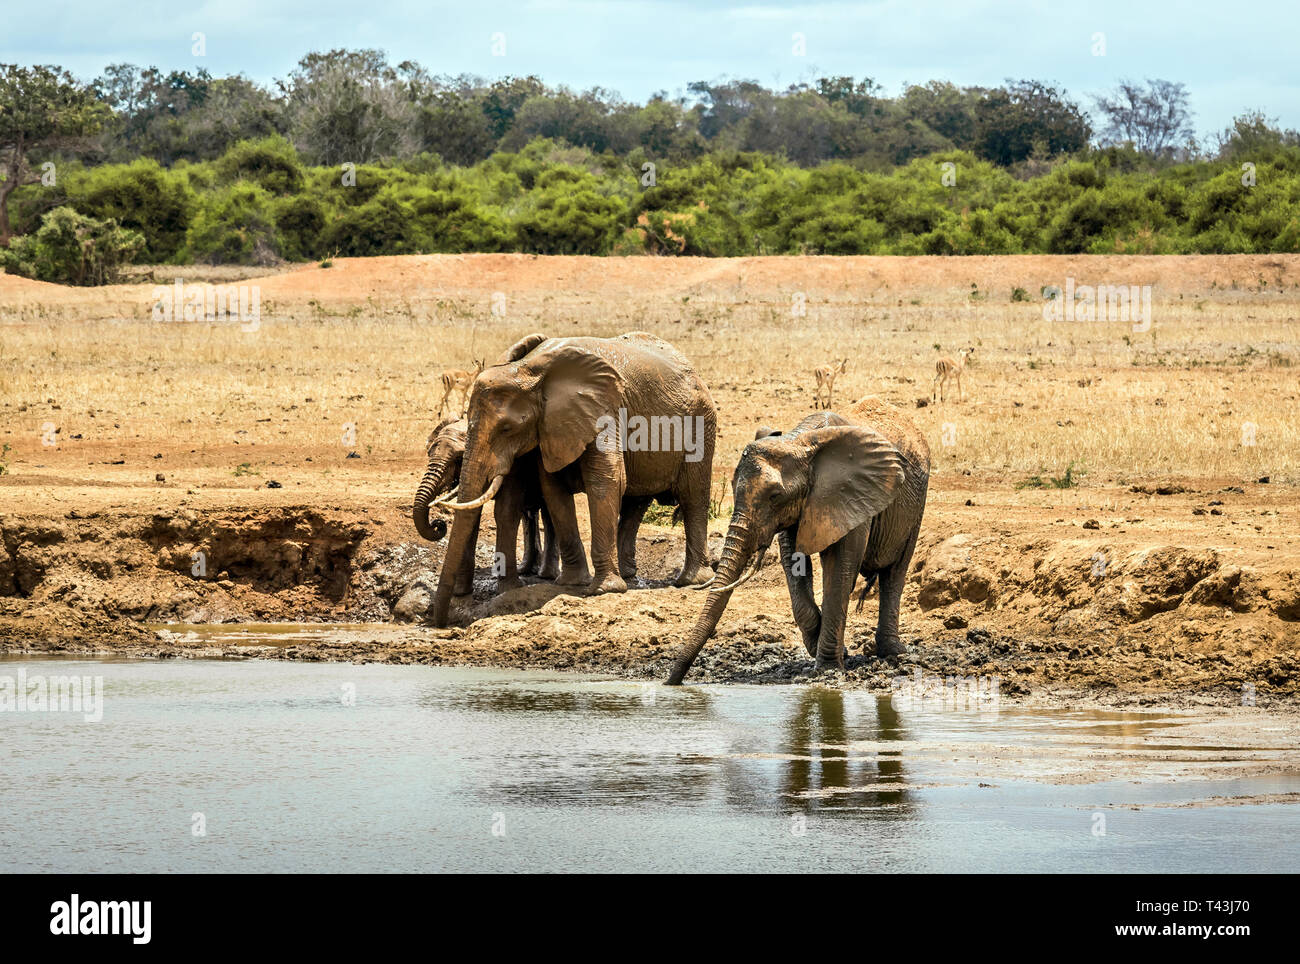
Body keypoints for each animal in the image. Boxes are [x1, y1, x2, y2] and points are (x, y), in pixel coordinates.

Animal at [410, 418, 564, 592]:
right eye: (429, 454)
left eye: (458, 459)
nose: (438, 524)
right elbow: (470, 514)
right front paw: (460, 591)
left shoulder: (512, 463)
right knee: (529, 515)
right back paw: (525, 570)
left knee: (547, 512)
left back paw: (546, 575)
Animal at [431, 332, 717, 631]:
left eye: (507, 429)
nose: (441, 622)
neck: (529, 370)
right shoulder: (548, 427)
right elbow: (553, 488)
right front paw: (573, 583)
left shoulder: (604, 408)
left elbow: (606, 479)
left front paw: (604, 590)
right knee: (635, 504)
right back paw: (630, 577)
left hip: (702, 422)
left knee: (693, 496)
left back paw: (693, 582)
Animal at [665, 394, 930, 685]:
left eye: (775, 496)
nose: (671, 682)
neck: (800, 442)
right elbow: (794, 561)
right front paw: (831, 650)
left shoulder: (852, 494)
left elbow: (840, 567)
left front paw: (828, 669)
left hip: (916, 504)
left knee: (895, 572)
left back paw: (893, 653)